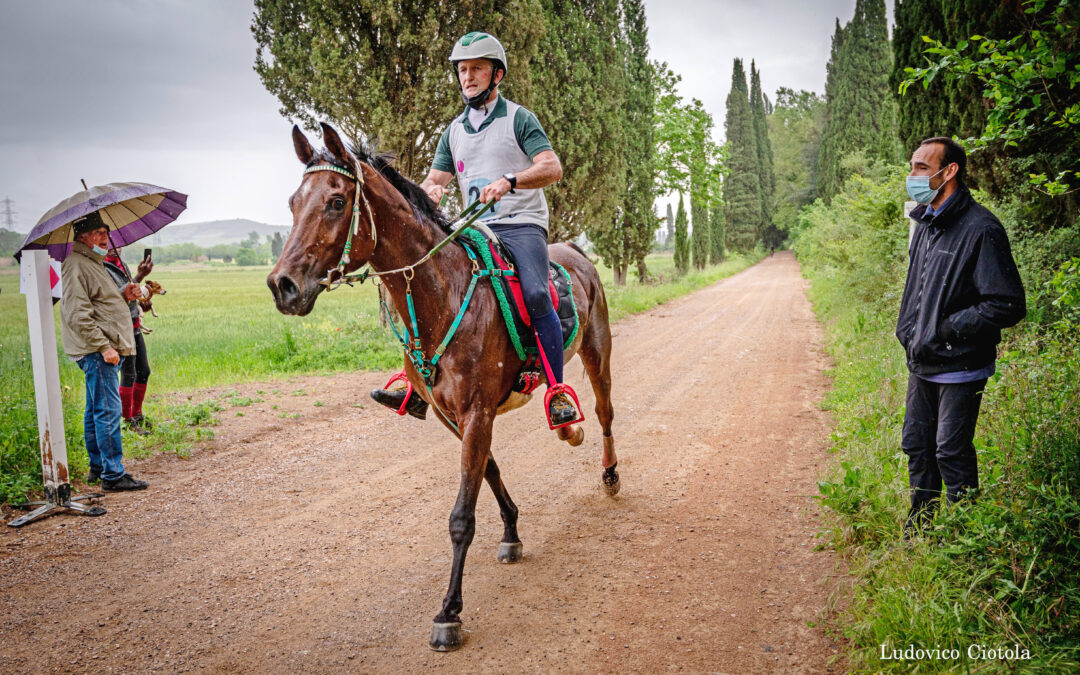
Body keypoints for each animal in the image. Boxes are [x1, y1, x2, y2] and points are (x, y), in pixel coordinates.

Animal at [267, 123, 617, 652]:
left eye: (335, 201)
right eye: (292, 202)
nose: (282, 286)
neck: (442, 292)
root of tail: (577, 252)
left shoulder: (477, 412)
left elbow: (460, 517)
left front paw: (449, 611)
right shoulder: (453, 415)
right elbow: (488, 472)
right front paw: (511, 533)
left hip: (598, 354)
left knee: (604, 414)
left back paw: (606, 468)